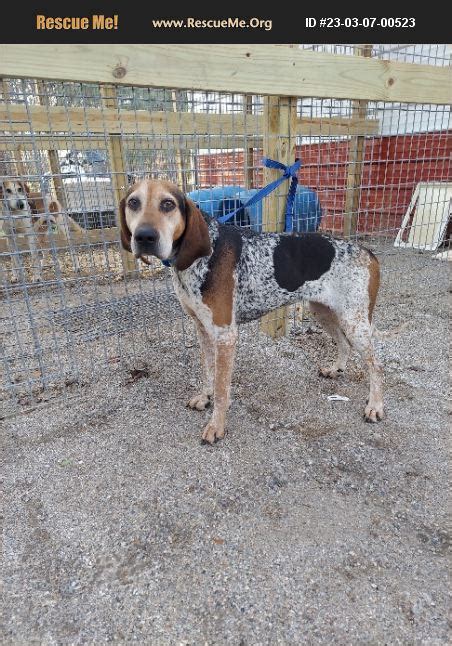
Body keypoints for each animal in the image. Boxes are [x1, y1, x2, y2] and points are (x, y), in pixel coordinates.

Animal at [118, 180, 384, 448]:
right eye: (133, 202)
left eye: (168, 204)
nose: (144, 236)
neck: (203, 255)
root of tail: (367, 251)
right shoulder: (202, 329)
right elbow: (208, 371)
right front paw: (205, 397)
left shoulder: (225, 335)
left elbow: (222, 388)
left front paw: (216, 425)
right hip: (323, 311)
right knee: (344, 344)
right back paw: (335, 369)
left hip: (354, 322)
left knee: (377, 365)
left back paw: (375, 405)